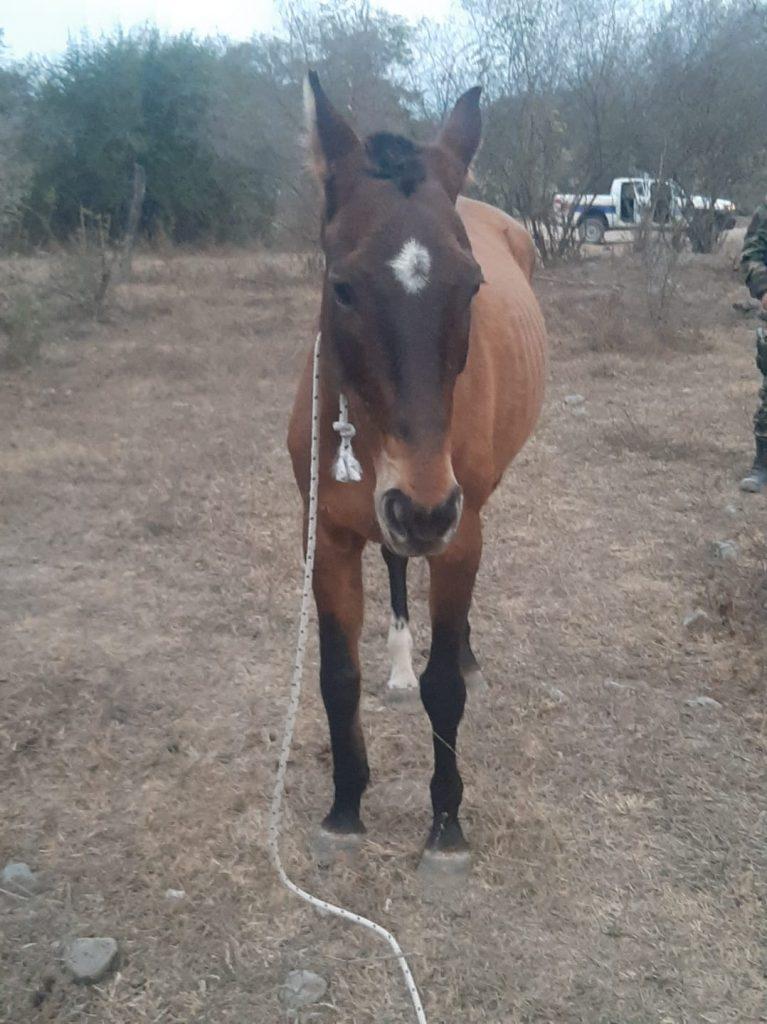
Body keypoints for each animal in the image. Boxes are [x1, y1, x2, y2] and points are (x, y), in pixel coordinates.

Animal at [288, 72, 547, 874]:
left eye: (472, 286)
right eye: (342, 286)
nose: (422, 508)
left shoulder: (458, 529)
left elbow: (444, 690)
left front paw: (445, 824)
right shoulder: (327, 538)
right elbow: (336, 677)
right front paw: (344, 809)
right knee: (399, 561)